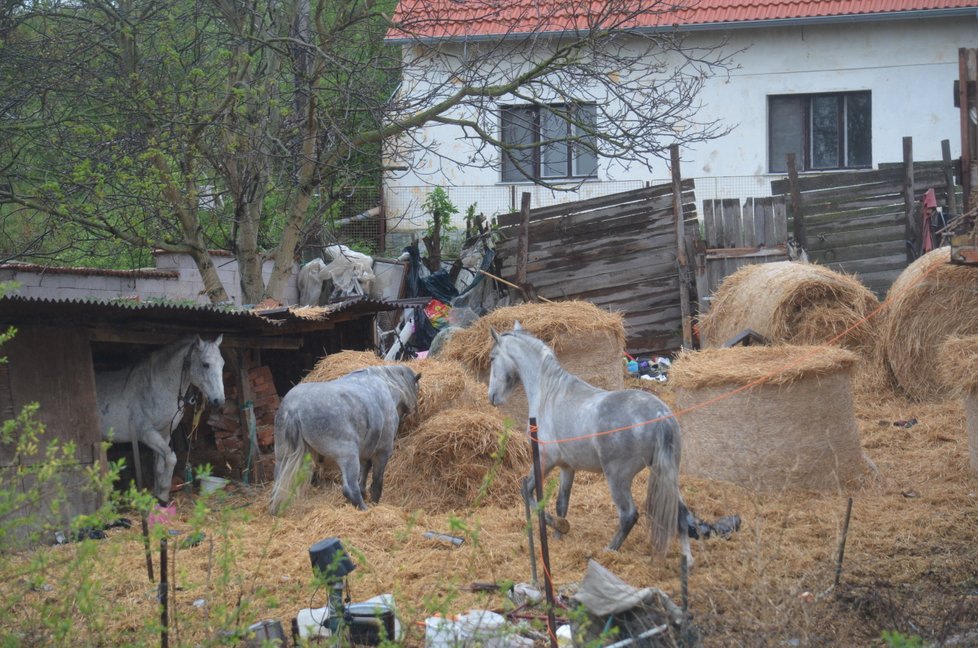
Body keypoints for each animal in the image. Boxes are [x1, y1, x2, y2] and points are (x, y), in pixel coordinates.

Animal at [96, 334, 225, 502]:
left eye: (222, 365)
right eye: (205, 364)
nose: (219, 401)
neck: (155, 387)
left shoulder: (164, 434)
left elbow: (159, 467)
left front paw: (157, 496)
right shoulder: (146, 433)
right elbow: (171, 458)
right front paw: (163, 495)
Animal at [484, 324, 692, 560]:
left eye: (492, 358)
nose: (492, 396)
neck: (549, 394)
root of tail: (660, 414)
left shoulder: (545, 461)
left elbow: (528, 493)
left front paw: (558, 526)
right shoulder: (566, 467)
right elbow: (561, 503)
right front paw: (559, 533)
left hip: (617, 478)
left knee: (629, 515)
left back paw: (608, 551)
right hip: (664, 472)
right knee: (681, 513)